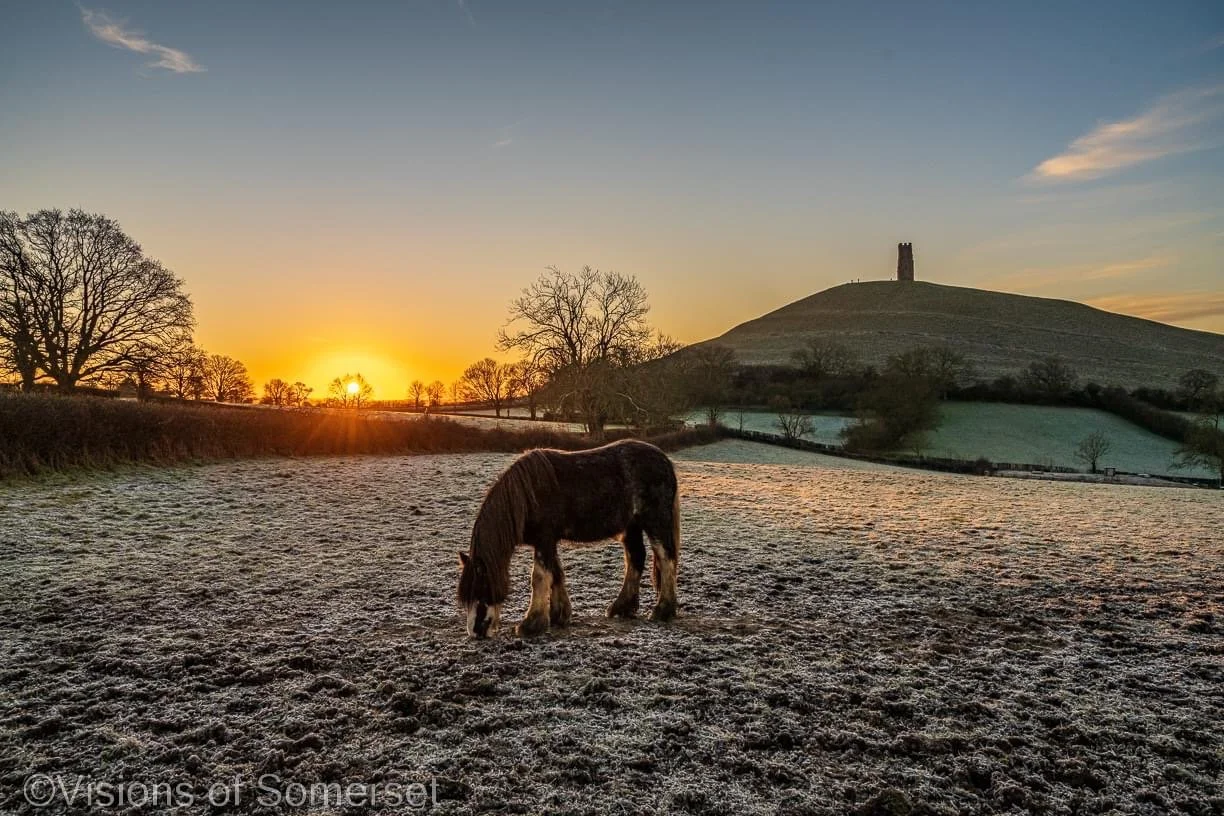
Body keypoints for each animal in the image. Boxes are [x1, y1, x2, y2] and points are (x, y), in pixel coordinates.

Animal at [457, 438, 680, 638]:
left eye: (481, 588)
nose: (475, 632)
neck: (528, 496)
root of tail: (664, 460)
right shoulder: (548, 542)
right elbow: (556, 573)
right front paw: (559, 616)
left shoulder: (544, 539)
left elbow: (539, 577)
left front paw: (531, 624)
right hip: (631, 526)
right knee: (636, 558)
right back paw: (621, 607)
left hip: (656, 522)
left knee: (666, 559)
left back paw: (663, 610)